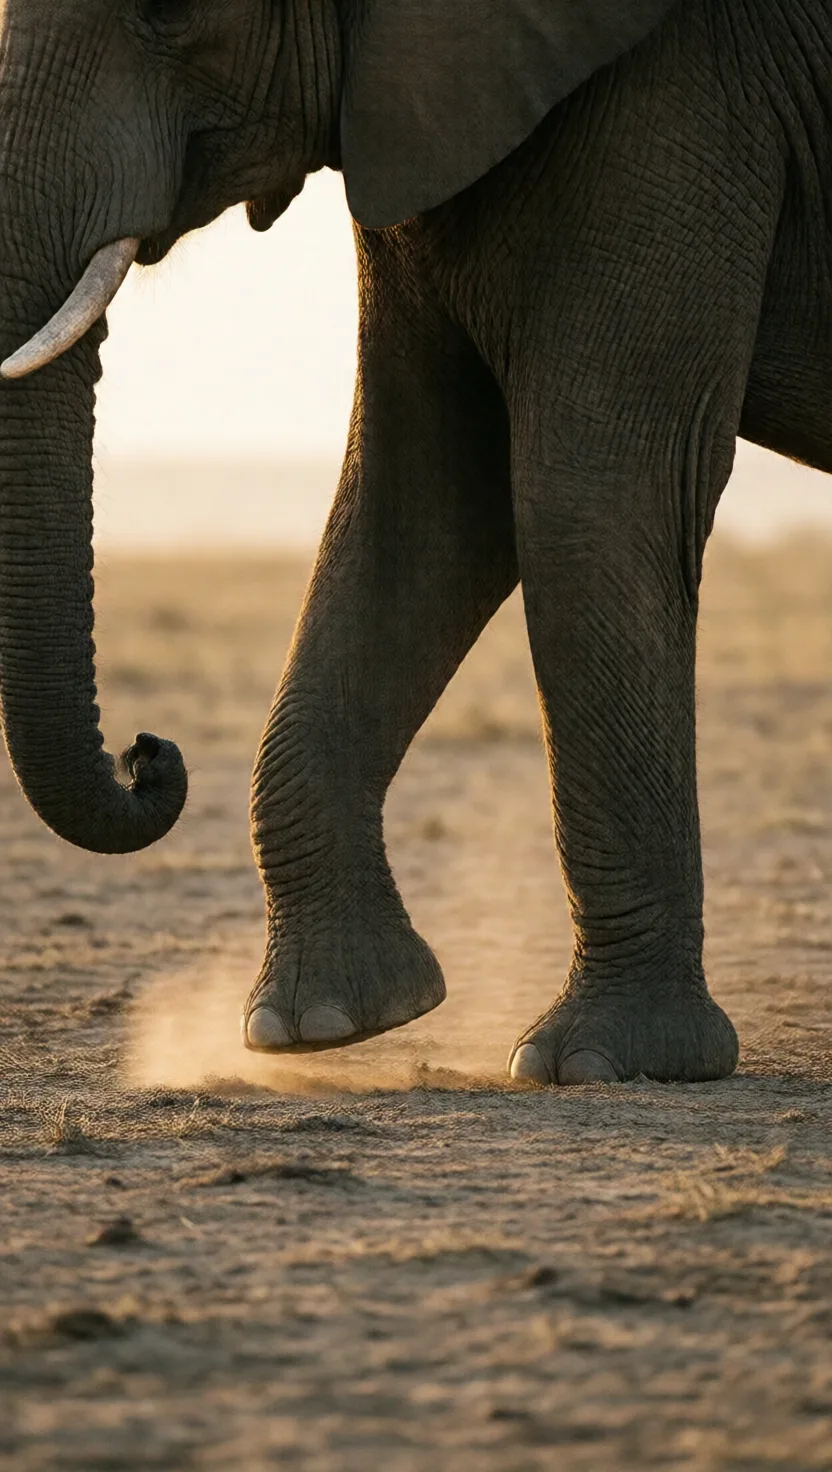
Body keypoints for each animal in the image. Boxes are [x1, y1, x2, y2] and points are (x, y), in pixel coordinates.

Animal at [0, 0, 827, 1086]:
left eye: (172, 13)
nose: (148, 753)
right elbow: (423, 487)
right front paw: (320, 1024)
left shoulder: (686, 94)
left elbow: (589, 487)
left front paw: (602, 1062)